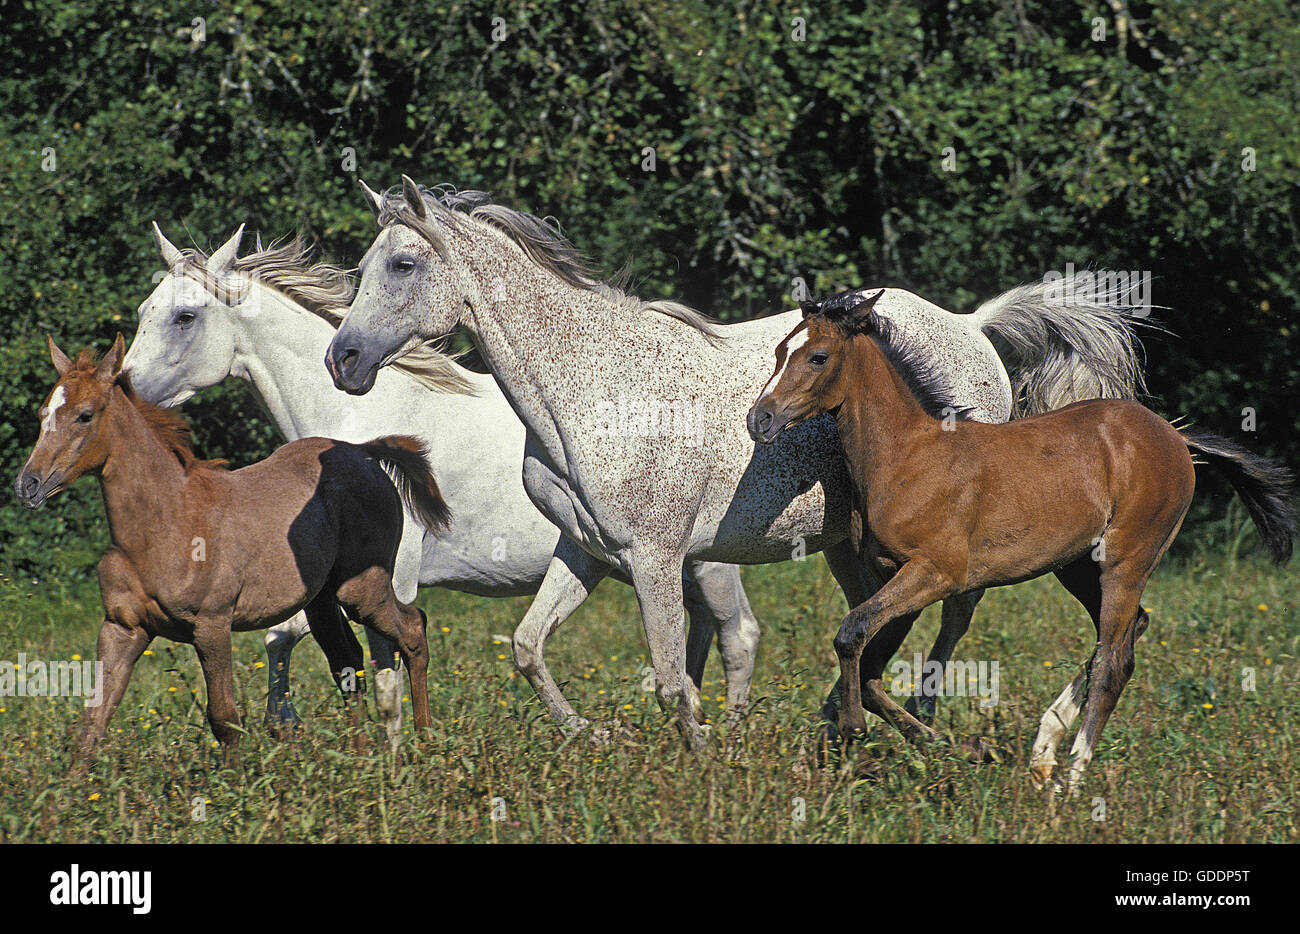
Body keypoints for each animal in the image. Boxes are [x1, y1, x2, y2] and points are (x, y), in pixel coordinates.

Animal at [12, 335, 452, 754]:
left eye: (85, 415)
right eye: (42, 414)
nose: (27, 485)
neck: (164, 523)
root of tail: (362, 453)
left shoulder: (211, 625)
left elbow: (224, 720)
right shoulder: (123, 627)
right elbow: (92, 723)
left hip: (362, 589)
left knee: (413, 629)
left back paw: (425, 743)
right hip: (321, 599)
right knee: (347, 661)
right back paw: (362, 758)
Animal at [122, 219, 759, 744]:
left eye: (185, 316)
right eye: (145, 309)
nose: (123, 390)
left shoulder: (391, 579)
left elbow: (371, 661)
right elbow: (285, 640)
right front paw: (288, 725)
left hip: (699, 562)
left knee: (739, 635)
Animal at [325, 176, 1149, 754]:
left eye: (403, 263)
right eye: (363, 265)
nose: (343, 360)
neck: (591, 388)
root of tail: (974, 326)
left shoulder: (654, 558)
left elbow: (669, 679)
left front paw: (700, 756)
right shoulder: (587, 552)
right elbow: (530, 649)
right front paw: (598, 735)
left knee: (959, 610)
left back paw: (924, 717)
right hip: (849, 544)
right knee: (882, 619)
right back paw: (853, 717)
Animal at [748, 291, 1294, 790]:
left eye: (818, 356)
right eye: (778, 351)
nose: (760, 419)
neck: (906, 459)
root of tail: (1177, 438)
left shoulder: (935, 574)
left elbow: (851, 634)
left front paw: (856, 729)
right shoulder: (888, 576)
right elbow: (867, 668)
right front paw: (958, 748)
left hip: (1127, 559)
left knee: (1113, 660)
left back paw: (1072, 777)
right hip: (1077, 566)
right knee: (1126, 633)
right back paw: (1045, 745)